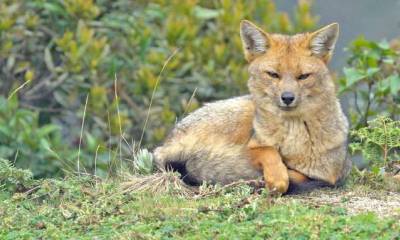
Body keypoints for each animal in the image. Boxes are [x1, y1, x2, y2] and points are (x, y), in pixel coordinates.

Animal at [152, 19, 350, 194]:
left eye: (303, 76)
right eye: (273, 75)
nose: (287, 98)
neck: (293, 137)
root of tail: (169, 139)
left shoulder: (332, 172)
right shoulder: (251, 146)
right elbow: (269, 151)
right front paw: (277, 178)